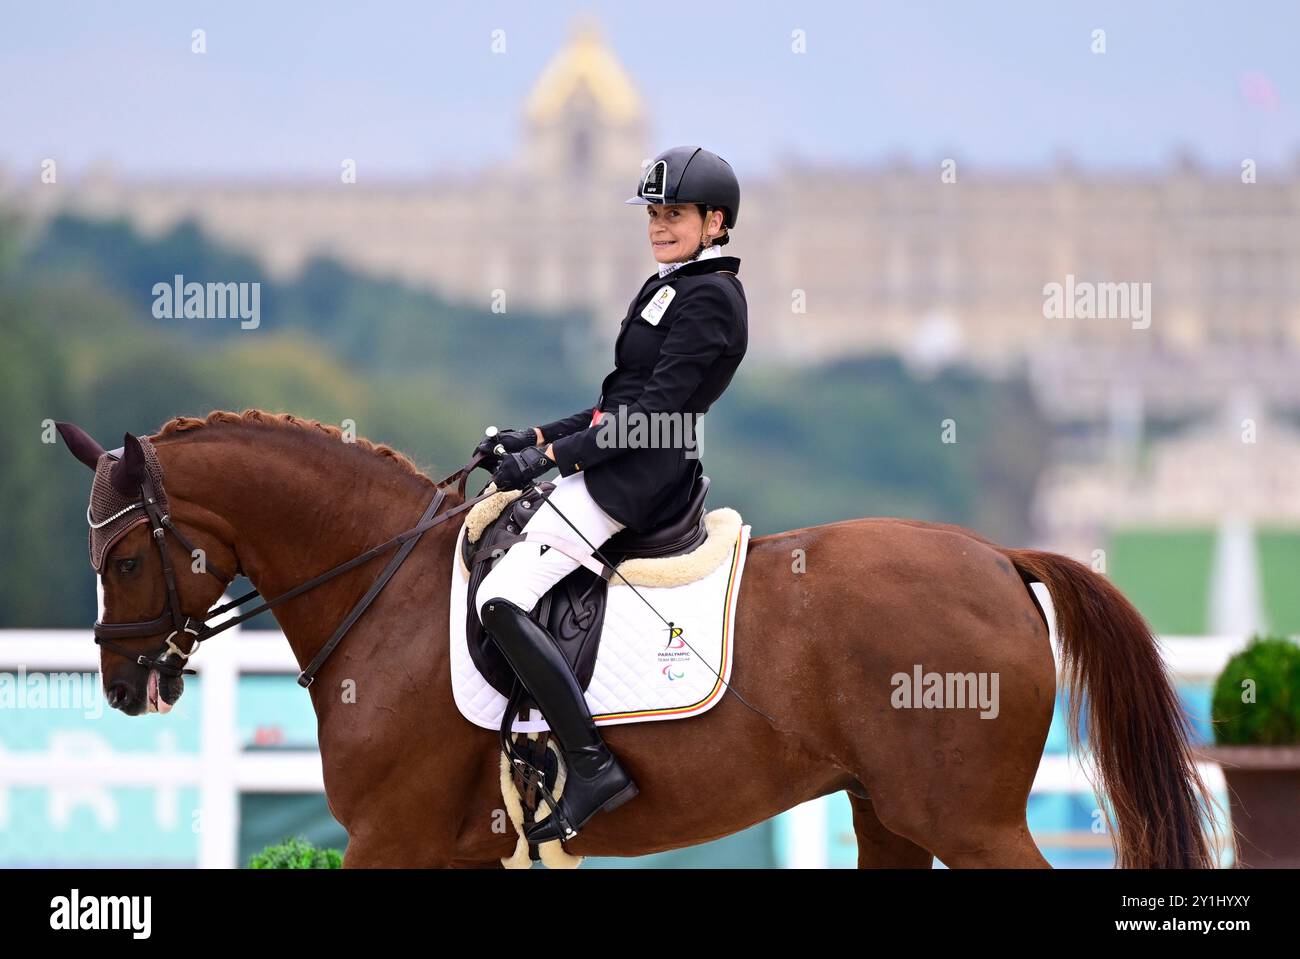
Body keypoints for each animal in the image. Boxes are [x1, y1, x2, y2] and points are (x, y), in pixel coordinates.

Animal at [58, 408, 1216, 868]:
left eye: (124, 560)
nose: (124, 686)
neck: (382, 584)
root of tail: (996, 557)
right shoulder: (458, 848)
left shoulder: (389, 838)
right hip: (890, 815)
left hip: (967, 819)